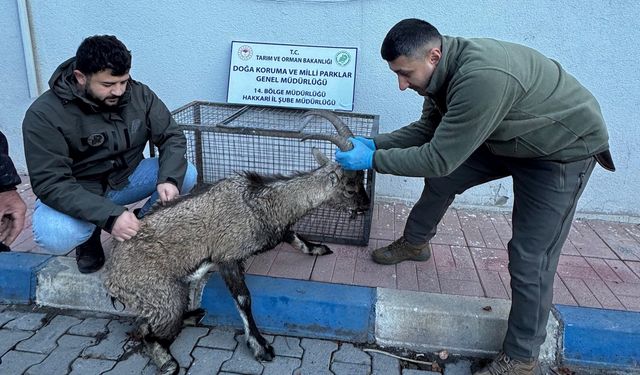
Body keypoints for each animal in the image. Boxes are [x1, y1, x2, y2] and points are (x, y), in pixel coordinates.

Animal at [102, 111, 368, 375]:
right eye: (350, 187)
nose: (365, 206)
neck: (259, 201)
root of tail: (111, 279)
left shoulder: (276, 229)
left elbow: (293, 236)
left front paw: (318, 248)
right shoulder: (227, 257)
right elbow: (243, 299)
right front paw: (260, 346)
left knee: (145, 325)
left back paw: (195, 315)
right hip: (164, 297)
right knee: (147, 333)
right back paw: (169, 362)